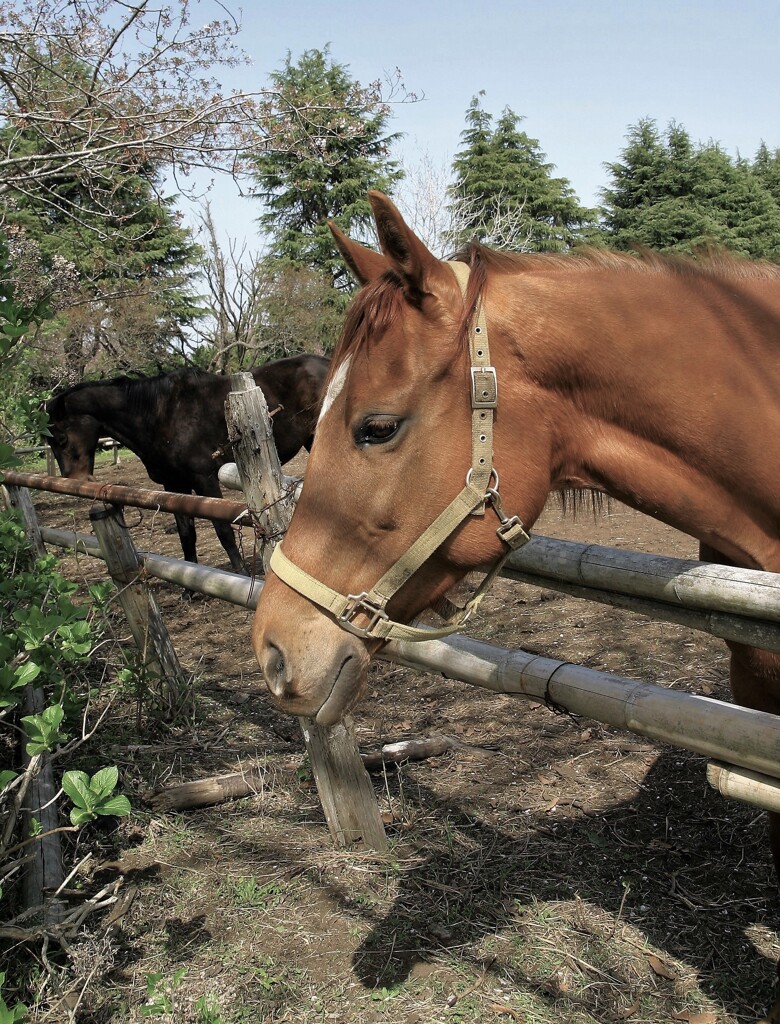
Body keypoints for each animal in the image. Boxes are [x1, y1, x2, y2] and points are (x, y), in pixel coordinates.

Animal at [46, 356, 327, 573]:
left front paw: (241, 571)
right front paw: (189, 587)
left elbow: (223, 530)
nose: (75, 481)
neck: (159, 415)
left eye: (61, 438)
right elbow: (186, 533)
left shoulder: (205, 479)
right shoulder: (173, 486)